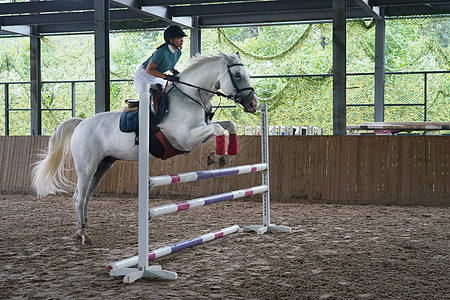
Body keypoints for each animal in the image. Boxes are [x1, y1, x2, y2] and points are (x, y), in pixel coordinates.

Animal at [32, 52, 256, 245]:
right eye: (237, 75)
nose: (253, 104)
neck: (190, 97)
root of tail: (81, 123)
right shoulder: (186, 138)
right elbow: (218, 128)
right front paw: (219, 157)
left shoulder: (199, 132)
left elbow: (228, 125)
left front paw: (224, 153)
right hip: (87, 167)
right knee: (79, 197)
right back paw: (84, 236)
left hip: (103, 166)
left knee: (86, 196)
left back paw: (82, 231)